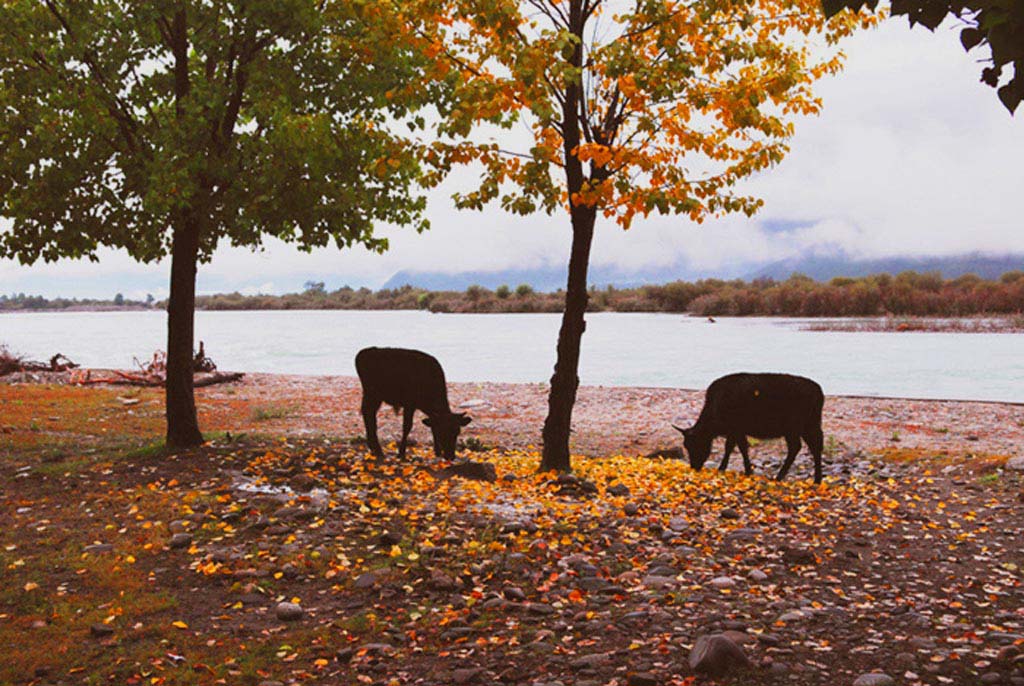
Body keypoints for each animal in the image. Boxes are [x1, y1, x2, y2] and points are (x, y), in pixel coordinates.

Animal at [675, 376, 827, 483]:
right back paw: (817, 479)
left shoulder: (736, 429)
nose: (694, 466)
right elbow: (732, 447)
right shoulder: (734, 431)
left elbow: (739, 447)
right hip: (809, 426)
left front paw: (744, 470)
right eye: (686, 445)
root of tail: (818, 391)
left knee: (797, 447)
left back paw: (779, 477)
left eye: (695, 444)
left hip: (794, 429)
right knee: (814, 447)